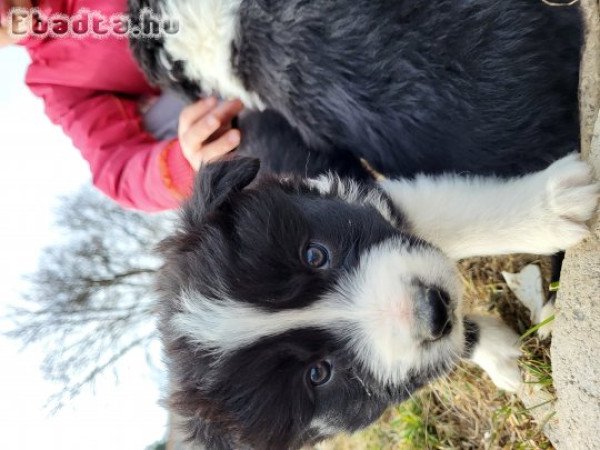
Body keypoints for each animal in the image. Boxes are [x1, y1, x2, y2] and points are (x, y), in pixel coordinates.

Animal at [159, 153, 600, 448]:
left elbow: (453, 216)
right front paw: (498, 354)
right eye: (319, 373)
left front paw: (552, 207)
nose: (434, 310)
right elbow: (442, 351)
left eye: (314, 255)